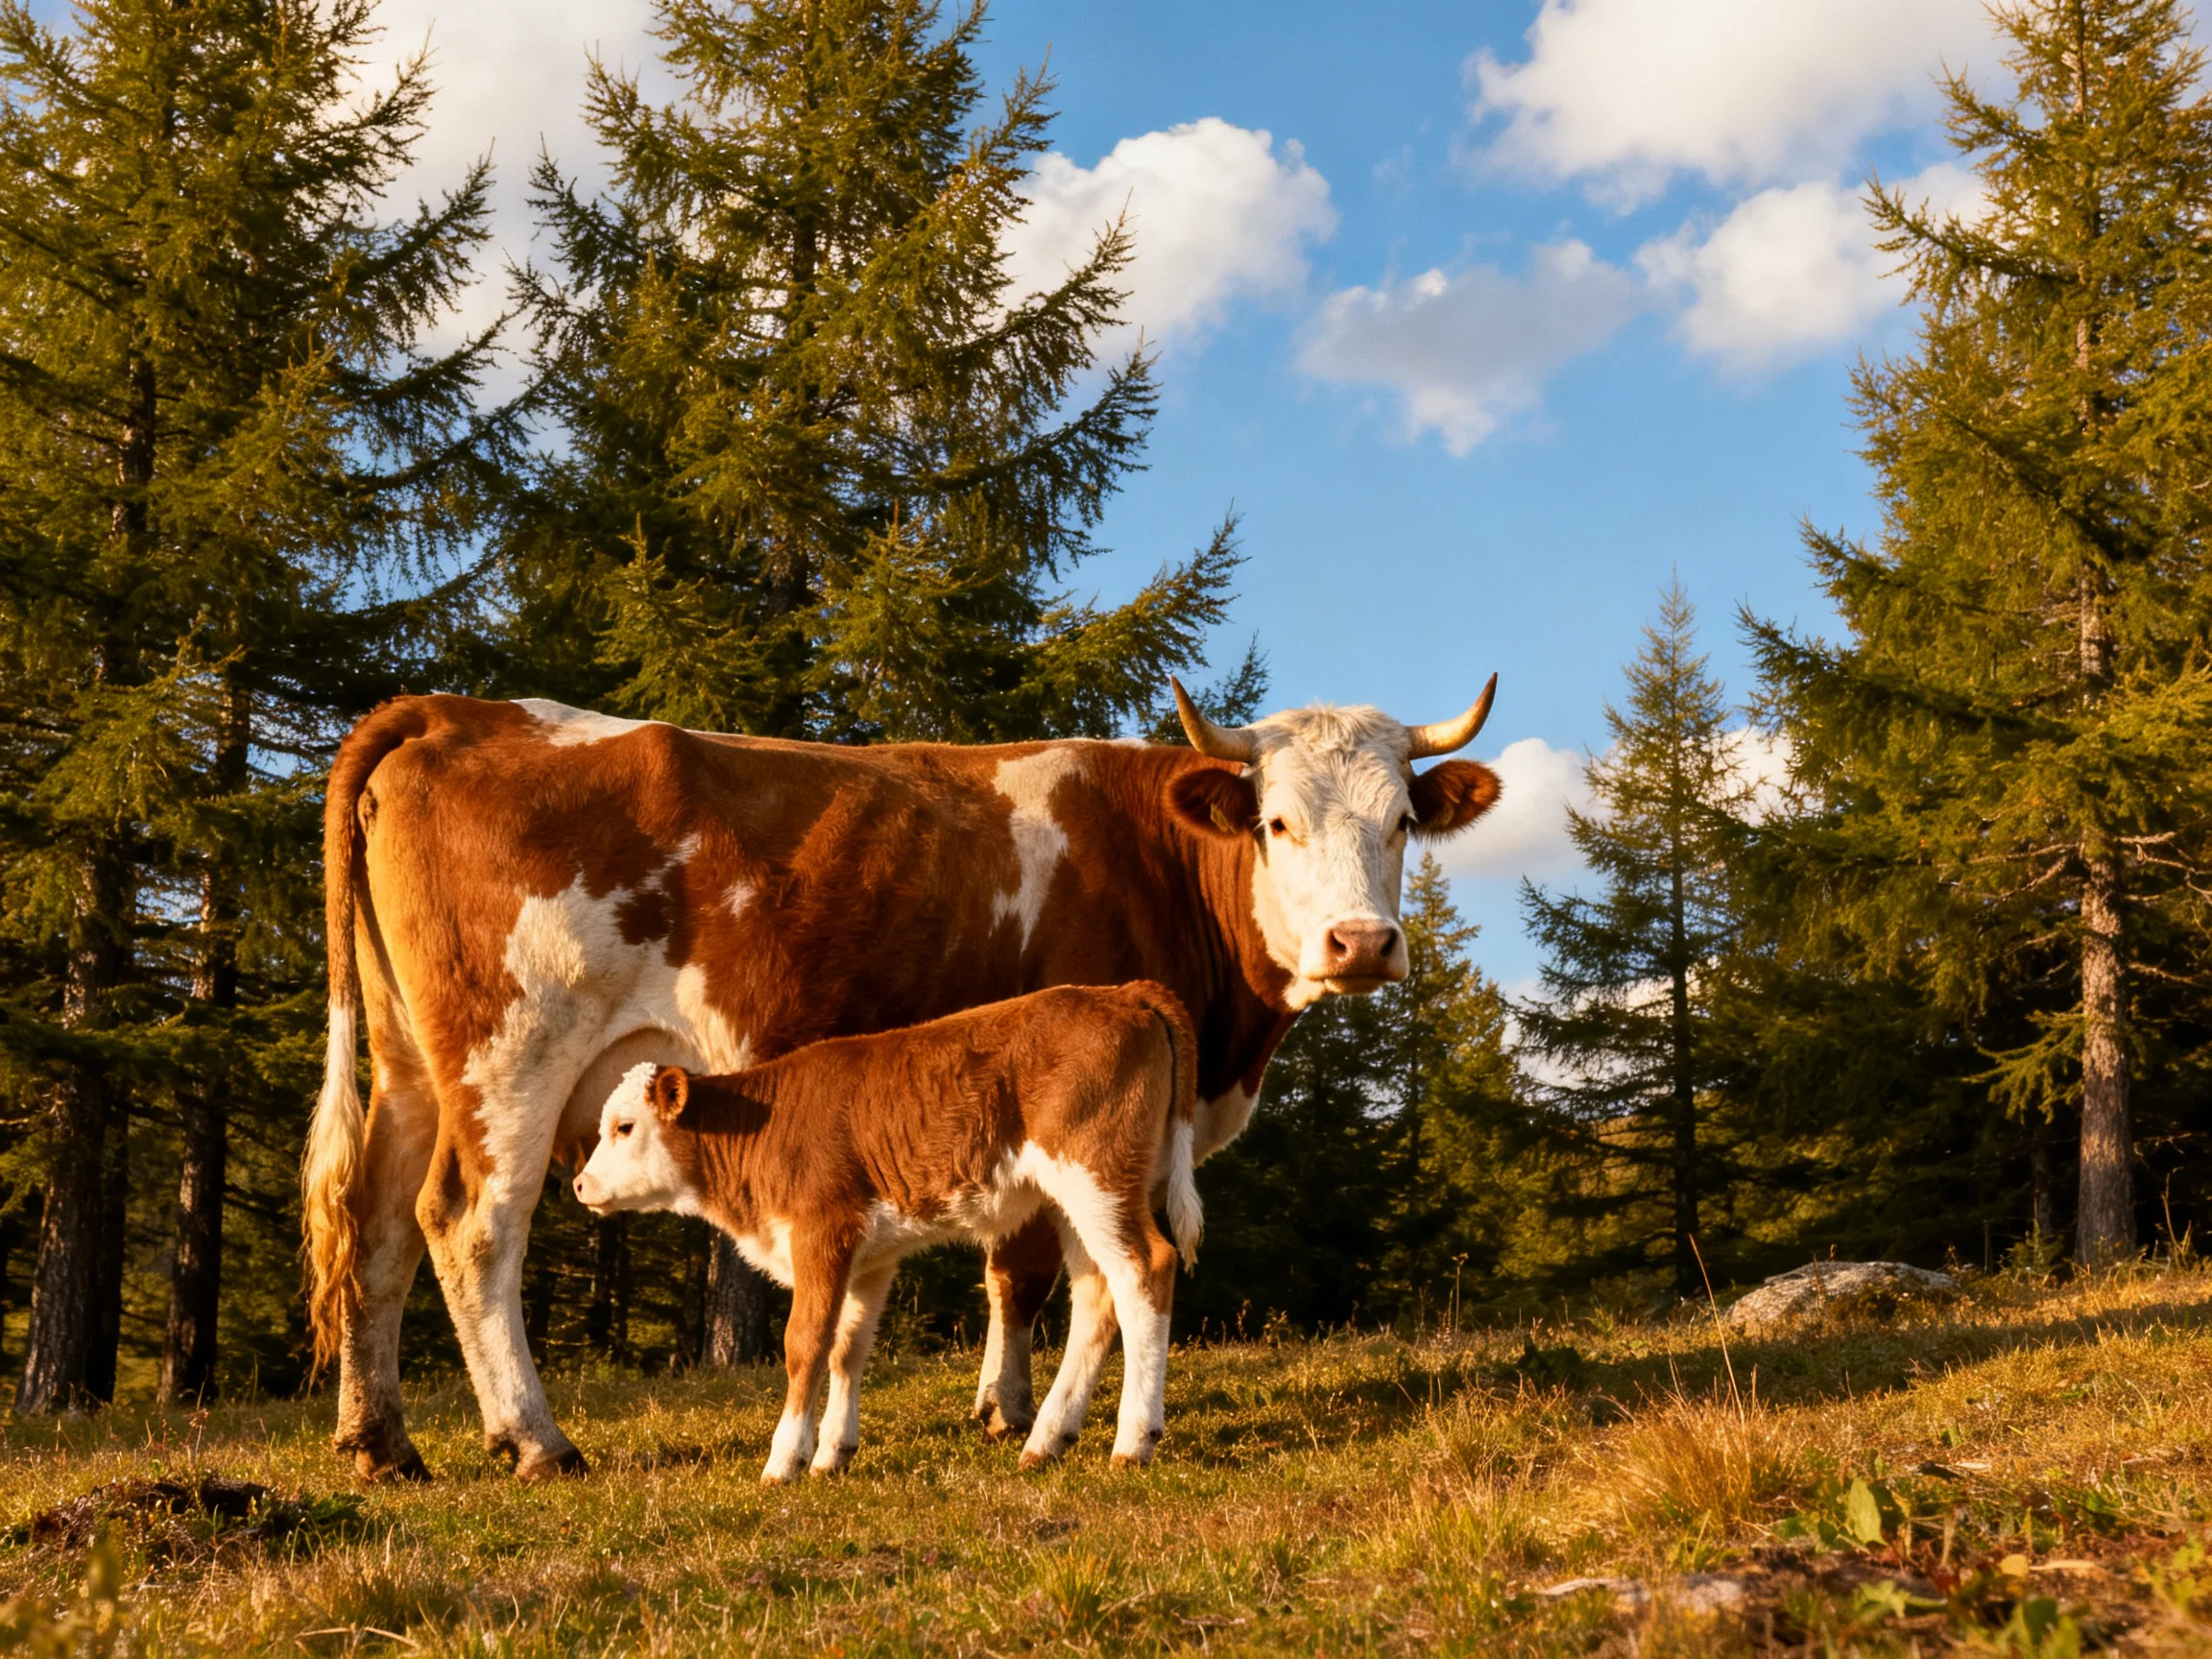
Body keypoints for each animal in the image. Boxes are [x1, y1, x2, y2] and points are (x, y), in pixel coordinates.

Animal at [570, 983, 1202, 1481]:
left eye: (623, 1127)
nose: (579, 1184)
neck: (765, 1129)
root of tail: (1122, 993)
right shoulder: (869, 1255)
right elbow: (847, 1348)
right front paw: (832, 1454)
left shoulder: (821, 1233)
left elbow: (804, 1343)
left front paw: (784, 1460)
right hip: (1074, 1200)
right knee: (1097, 1295)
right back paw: (1047, 1440)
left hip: (1096, 1174)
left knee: (1146, 1269)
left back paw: (1133, 1440)